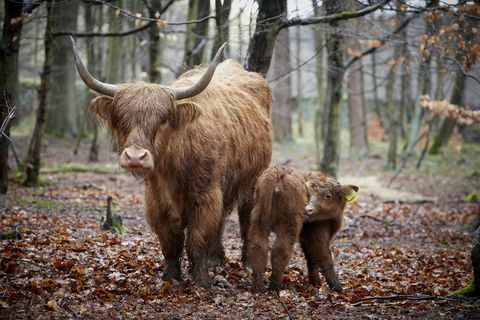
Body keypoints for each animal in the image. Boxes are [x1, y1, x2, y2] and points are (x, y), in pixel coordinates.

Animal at [68, 38, 272, 288]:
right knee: (222, 218)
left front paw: (201, 281)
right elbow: (170, 239)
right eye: (121, 118)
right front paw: (171, 275)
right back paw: (216, 259)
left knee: (246, 216)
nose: (135, 157)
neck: (173, 167)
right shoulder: (157, 199)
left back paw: (248, 261)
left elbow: (197, 237)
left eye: (162, 119)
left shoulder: (205, 194)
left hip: (252, 180)